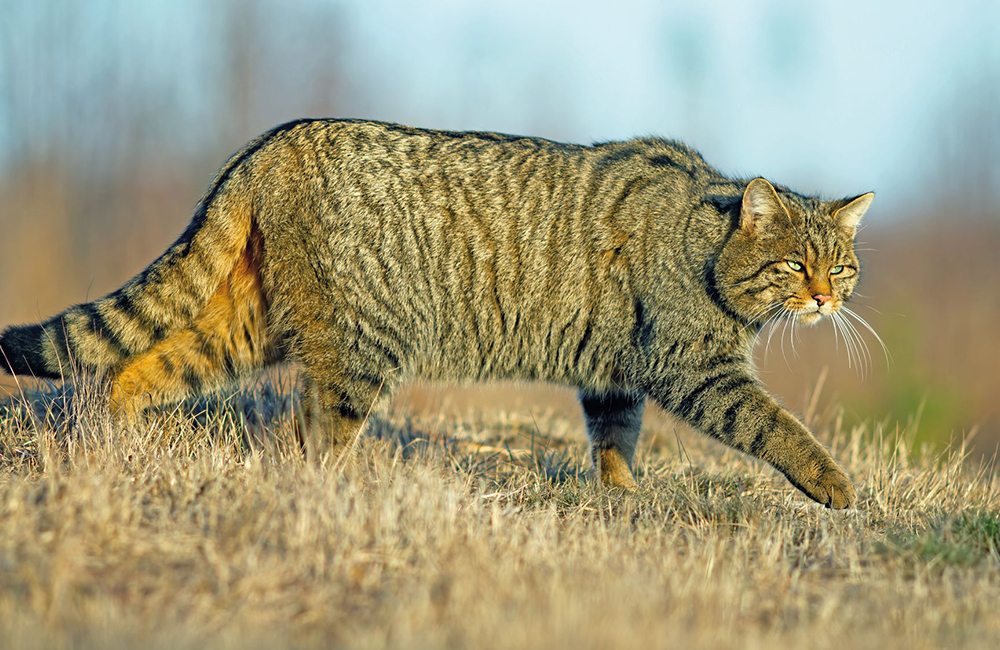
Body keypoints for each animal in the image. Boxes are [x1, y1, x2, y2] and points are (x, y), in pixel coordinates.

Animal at [0, 120, 872, 506]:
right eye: (795, 264)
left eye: (841, 264)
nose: (827, 298)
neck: (706, 240)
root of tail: (272, 142)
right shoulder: (696, 370)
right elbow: (776, 425)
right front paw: (834, 482)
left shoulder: (614, 374)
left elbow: (616, 441)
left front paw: (622, 498)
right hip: (358, 351)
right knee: (313, 439)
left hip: (245, 326)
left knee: (137, 367)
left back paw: (111, 441)